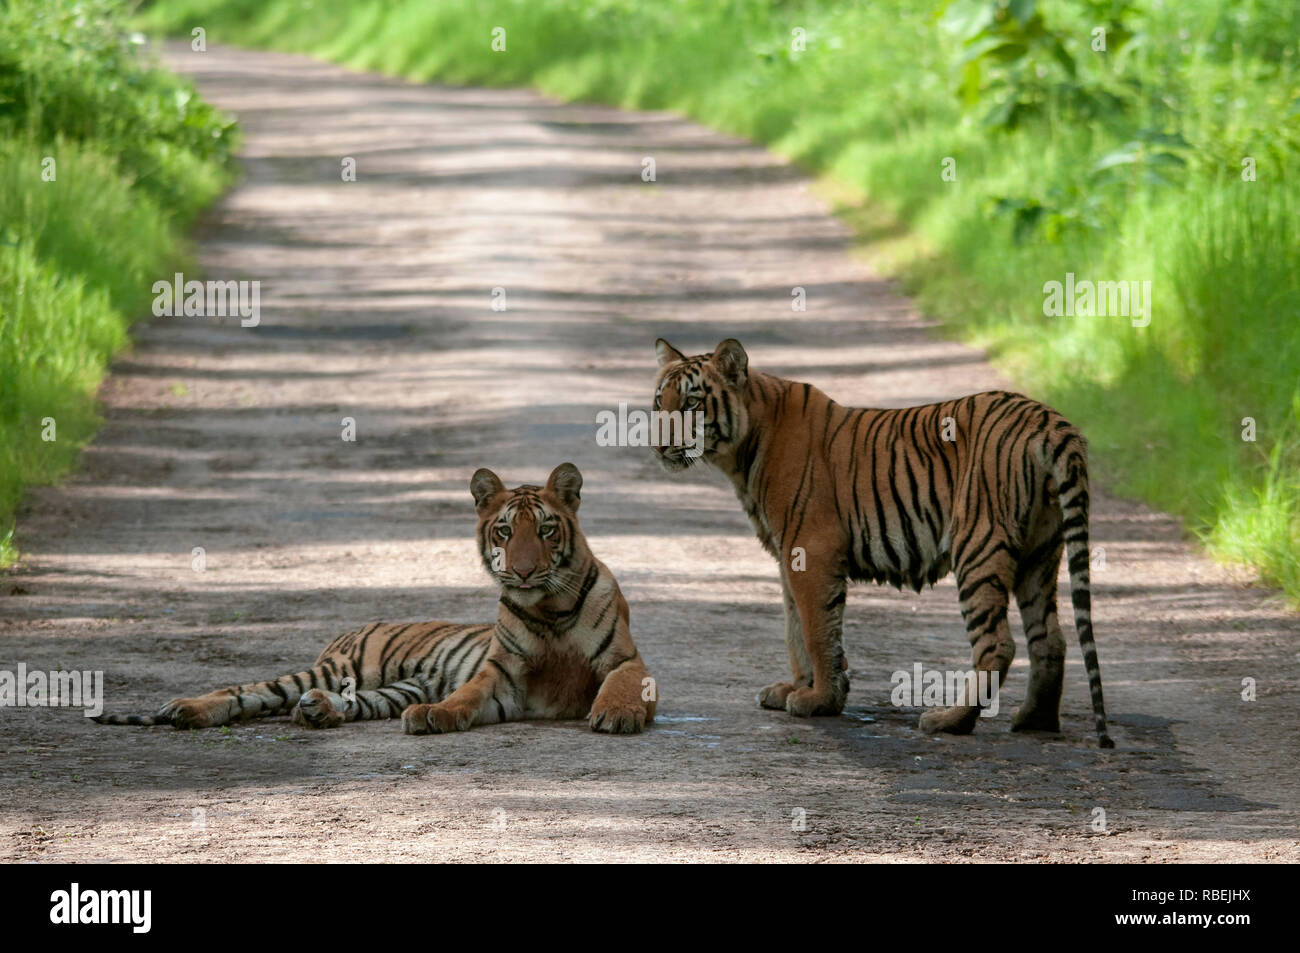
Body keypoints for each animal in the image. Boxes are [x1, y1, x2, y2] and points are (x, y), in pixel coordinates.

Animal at [94, 465, 655, 733]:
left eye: (544, 530)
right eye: (503, 531)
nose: (522, 570)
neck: (550, 609)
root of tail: (351, 628)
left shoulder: (627, 660)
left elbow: (622, 684)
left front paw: (617, 715)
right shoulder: (502, 675)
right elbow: (467, 695)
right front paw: (440, 714)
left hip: (391, 686)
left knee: (341, 701)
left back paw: (318, 712)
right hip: (338, 667)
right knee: (246, 690)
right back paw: (186, 709)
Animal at [655, 338, 1112, 748]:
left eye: (692, 403)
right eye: (660, 401)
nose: (659, 445)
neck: (741, 452)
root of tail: (1049, 420)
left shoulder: (811, 550)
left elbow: (816, 630)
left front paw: (818, 700)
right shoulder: (788, 556)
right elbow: (795, 627)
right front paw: (798, 688)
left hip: (978, 547)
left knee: (998, 644)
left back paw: (950, 720)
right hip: (1040, 554)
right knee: (1050, 639)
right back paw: (1034, 720)